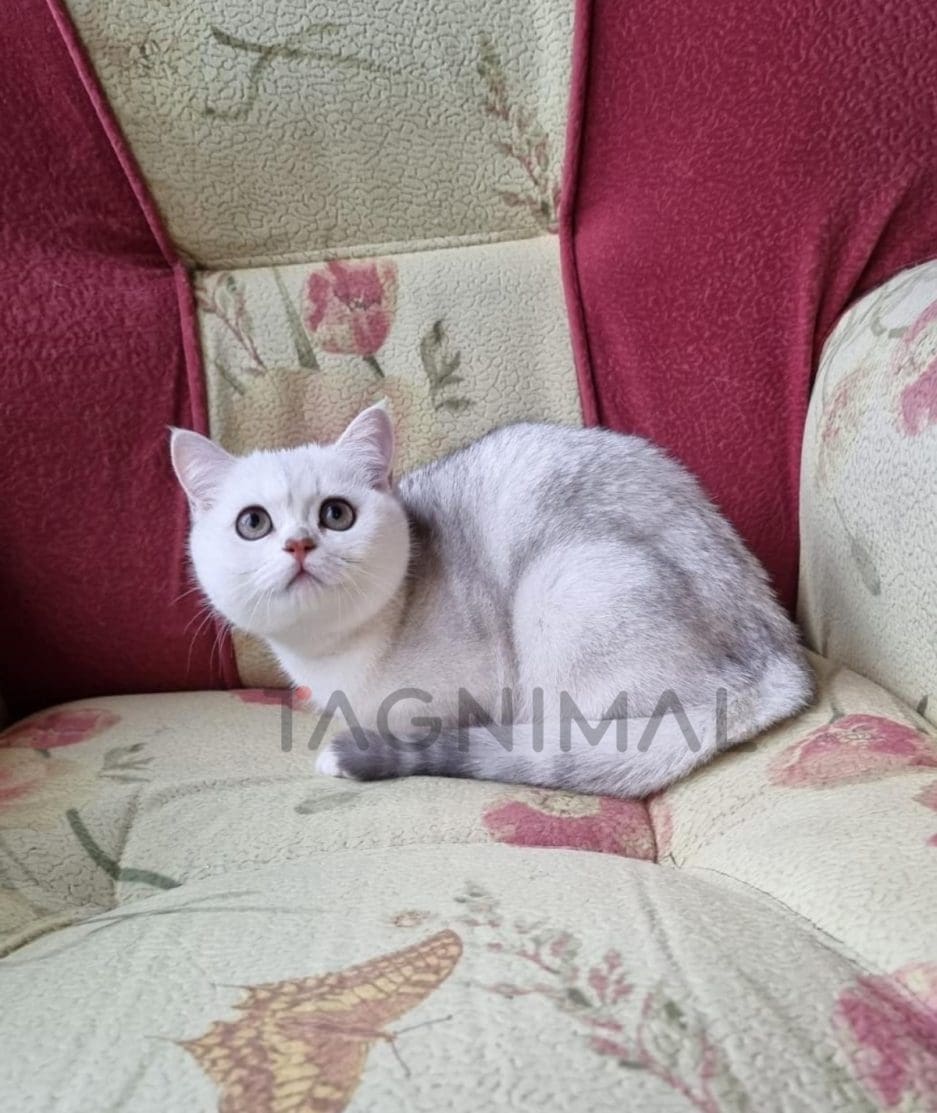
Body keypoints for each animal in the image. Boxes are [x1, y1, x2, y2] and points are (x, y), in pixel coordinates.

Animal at [171, 404, 814, 798]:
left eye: (336, 514)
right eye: (253, 523)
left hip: (561, 589)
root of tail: (781, 657)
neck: (337, 660)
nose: (299, 544)